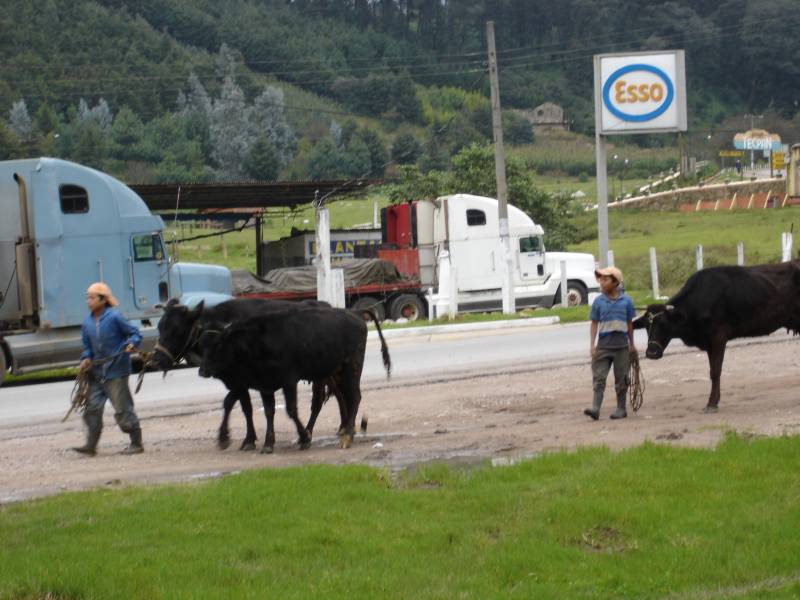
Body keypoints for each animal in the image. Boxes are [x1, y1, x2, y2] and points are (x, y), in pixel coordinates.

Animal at [197, 304, 390, 450]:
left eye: (218, 344)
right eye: (200, 345)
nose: (202, 371)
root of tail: (355, 313)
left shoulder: (287, 382)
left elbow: (290, 410)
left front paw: (303, 437)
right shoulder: (261, 385)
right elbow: (265, 411)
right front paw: (266, 443)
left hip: (351, 368)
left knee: (353, 397)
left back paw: (347, 436)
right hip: (334, 374)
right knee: (342, 398)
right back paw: (345, 430)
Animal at [632, 262, 800, 412]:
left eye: (664, 324)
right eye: (646, 326)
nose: (651, 353)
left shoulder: (718, 337)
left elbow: (715, 371)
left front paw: (711, 403)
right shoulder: (708, 343)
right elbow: (712, 370)